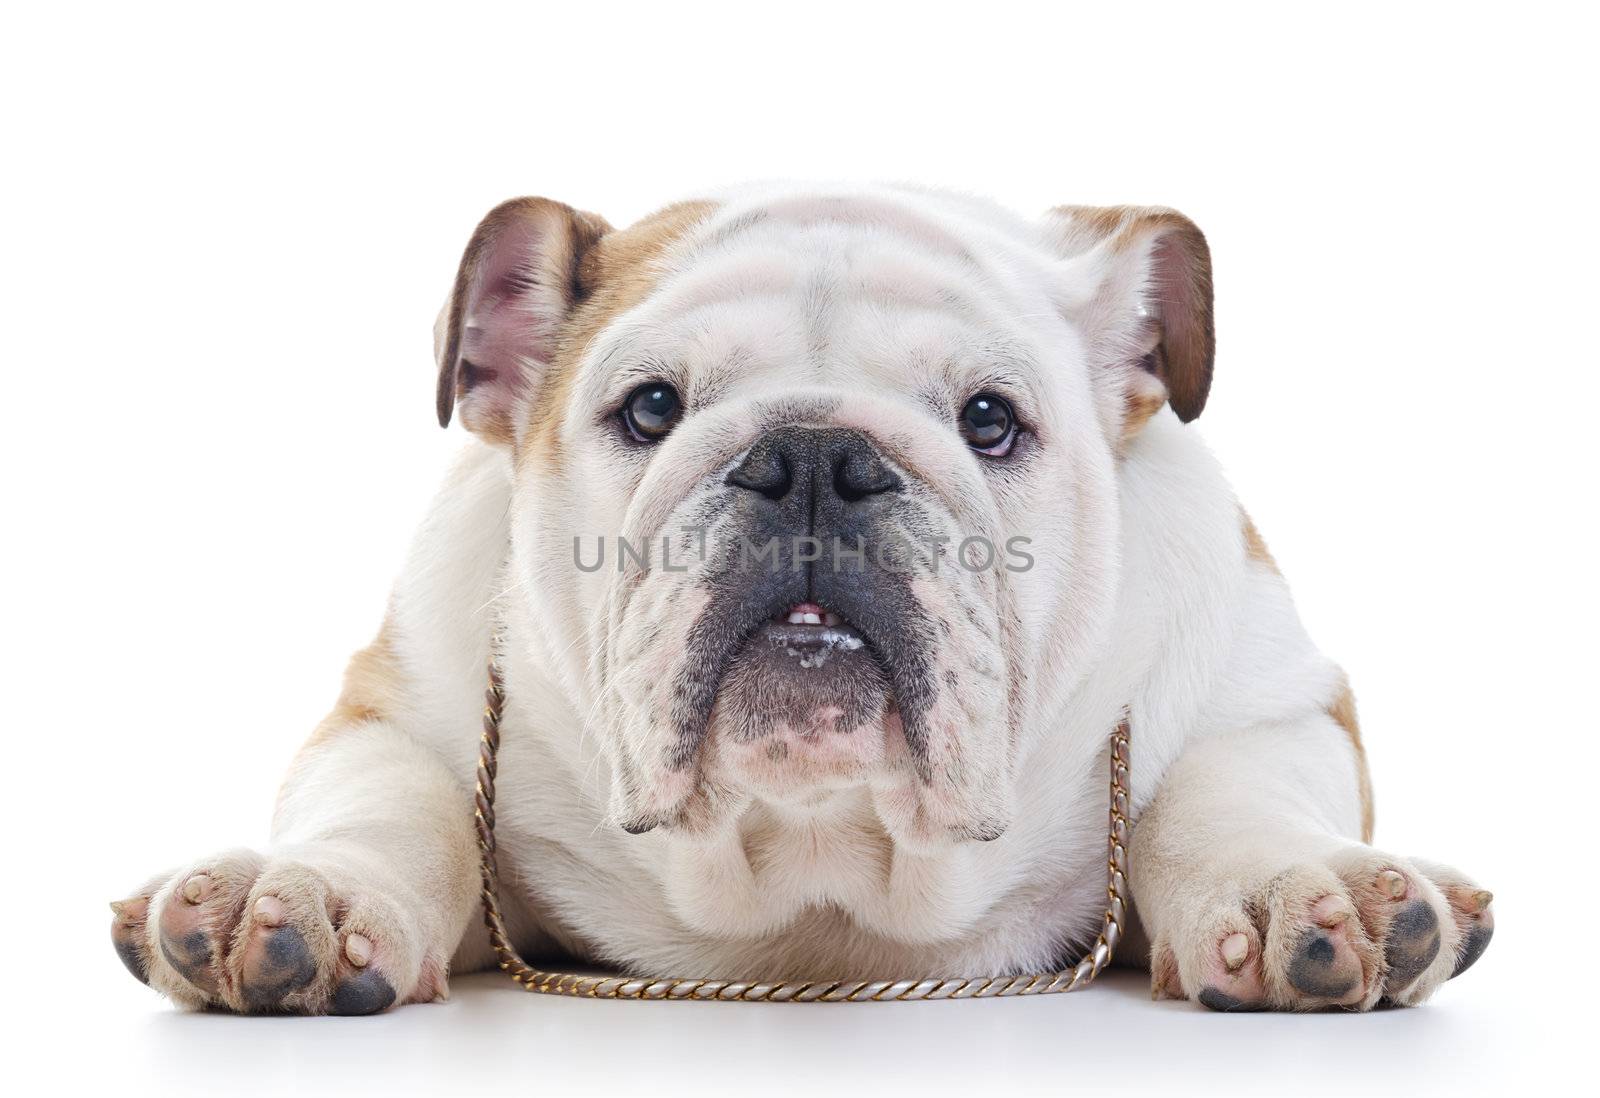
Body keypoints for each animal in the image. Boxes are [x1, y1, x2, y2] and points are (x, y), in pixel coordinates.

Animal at [109, 184, 1484, 1017]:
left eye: (991, 419)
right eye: (648, 408)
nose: (817, 458)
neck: (814, 862)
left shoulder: (1267, 694)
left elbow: (1219, 791)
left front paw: (1292, 888)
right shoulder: (404, 702)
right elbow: (398, 803)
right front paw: (309, 891)